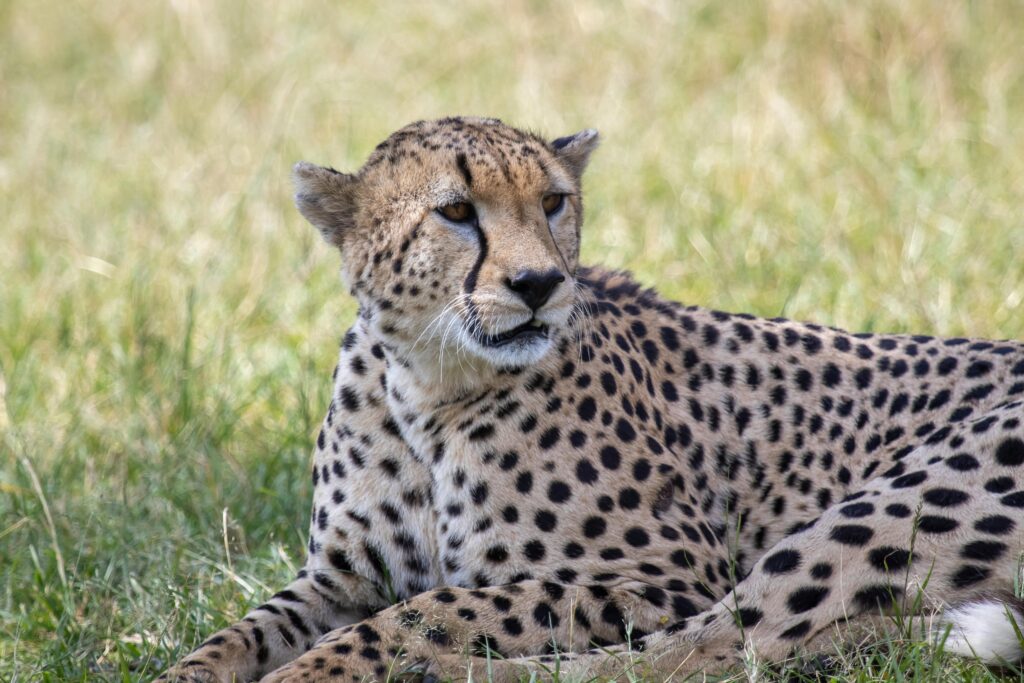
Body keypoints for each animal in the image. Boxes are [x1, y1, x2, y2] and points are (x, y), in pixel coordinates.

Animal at [159, 116, 1024, 682]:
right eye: (455, 211)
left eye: (552, 202)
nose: (539, 282)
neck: (432, 380)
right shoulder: (338, 579)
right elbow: (243, 630)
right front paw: (192, 671)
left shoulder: (667, 576)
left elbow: (440, 606)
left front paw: (321, 670)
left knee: (716, 651)